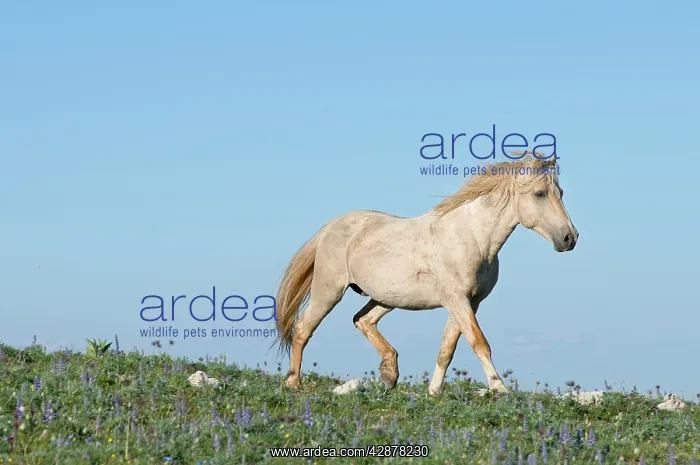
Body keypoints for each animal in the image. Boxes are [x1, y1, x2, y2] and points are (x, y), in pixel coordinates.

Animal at [273, 152, 578, 394]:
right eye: (540, 194)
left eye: (561, 193)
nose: (569, 238)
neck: (473, 237)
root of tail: (332, 225)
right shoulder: (457, 300)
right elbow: (479, 343)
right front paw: (499, 388)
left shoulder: (469, 302)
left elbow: (447, 349)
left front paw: (434, 391)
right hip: (329, 290)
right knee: (303, 328)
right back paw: (294, 383)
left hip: (387, 298)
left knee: (362, 320)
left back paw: (389, 373)